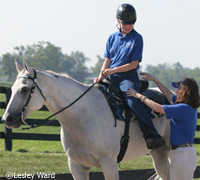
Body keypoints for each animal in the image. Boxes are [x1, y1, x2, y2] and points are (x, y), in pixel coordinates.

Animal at [1, 62, 170, 180]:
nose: (7, 119)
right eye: (12, 88)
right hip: (158, 154)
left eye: (24, 89)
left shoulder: (109, 164)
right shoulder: (76, 166)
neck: (83, 116)